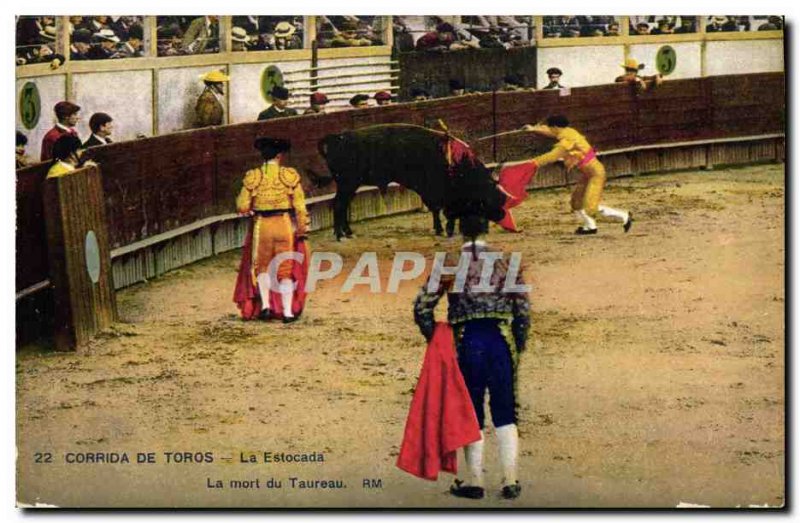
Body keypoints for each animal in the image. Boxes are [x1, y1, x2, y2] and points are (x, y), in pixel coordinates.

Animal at [318, 124, 506, 241]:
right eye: (488, 195)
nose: (501, 215)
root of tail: (337, 138)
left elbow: (439, 209)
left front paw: (442, 229)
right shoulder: (434, 190)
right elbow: (439, 209)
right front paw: (442, 229)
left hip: (349, 185)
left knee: (342, 206)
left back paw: (347, 233)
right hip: (347, 183)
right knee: (339, 205)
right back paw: (340, 235)